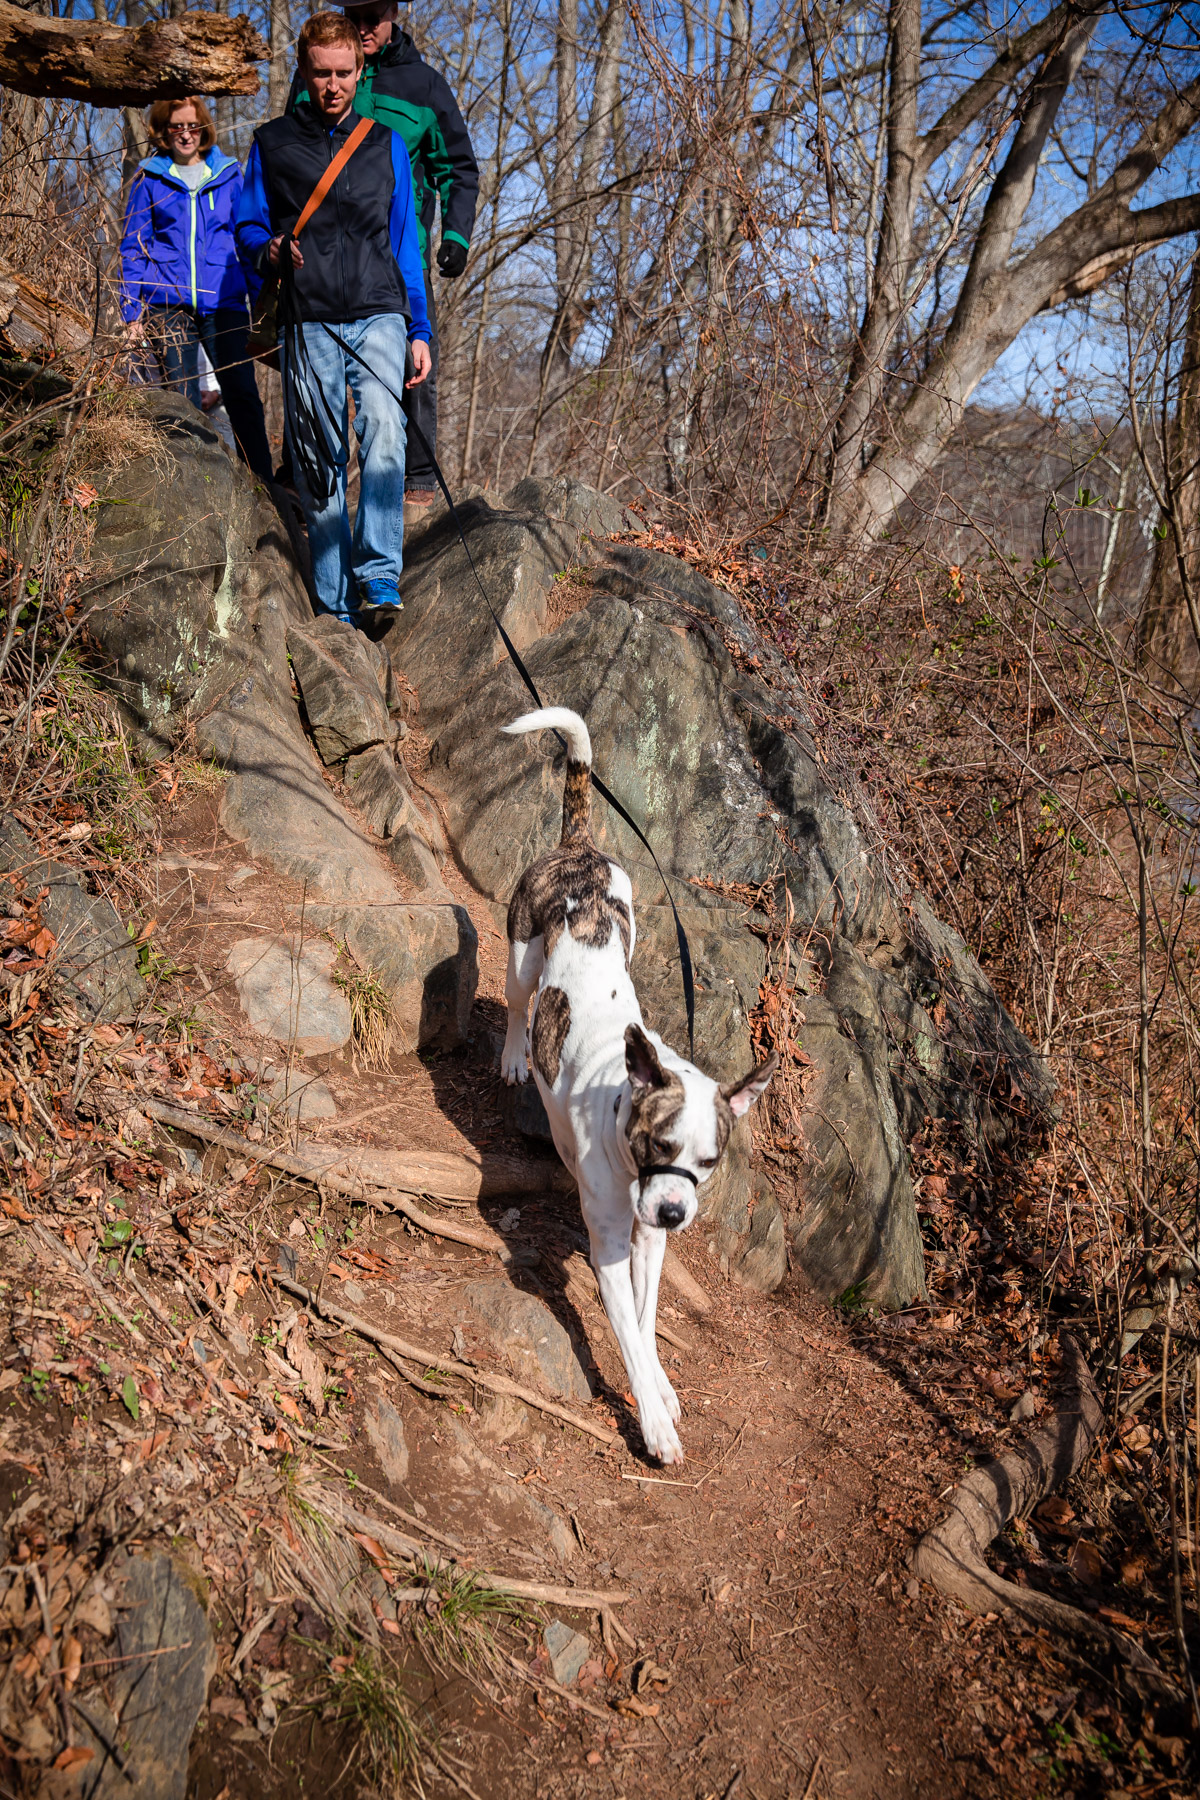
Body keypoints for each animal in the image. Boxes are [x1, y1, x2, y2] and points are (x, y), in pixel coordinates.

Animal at [500, 702, 773, 1461]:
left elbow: (649, 1324)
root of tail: (582, 849)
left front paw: (663, 1386)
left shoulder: (648, 1243)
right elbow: (625, 1331)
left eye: (707, 1162)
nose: (677, 1211)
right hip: (522, 956)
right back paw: (513, 1055)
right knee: (516, 1001)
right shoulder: (611, 1247)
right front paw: (652, 1419)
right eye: (659, 1144)